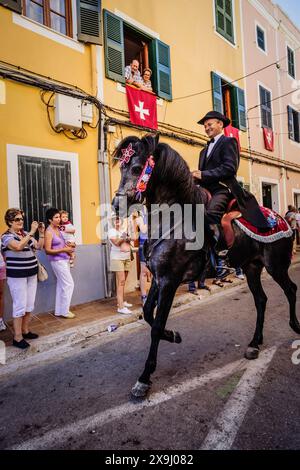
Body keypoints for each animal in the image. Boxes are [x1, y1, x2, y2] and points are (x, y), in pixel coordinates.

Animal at [111, 134, 298, 398]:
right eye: (121, 167)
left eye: (137, 168)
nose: (117, 205)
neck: (172, 222)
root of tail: (283, 220)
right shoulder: (158, 279)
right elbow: (147, 313)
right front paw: (174, 336)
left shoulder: (169, 281)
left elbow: (156, 325)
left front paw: (144, 378)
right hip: (251, 267)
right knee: (261, 300)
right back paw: (254, 344)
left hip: (276, 266)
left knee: (290, 290)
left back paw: (294, 326)